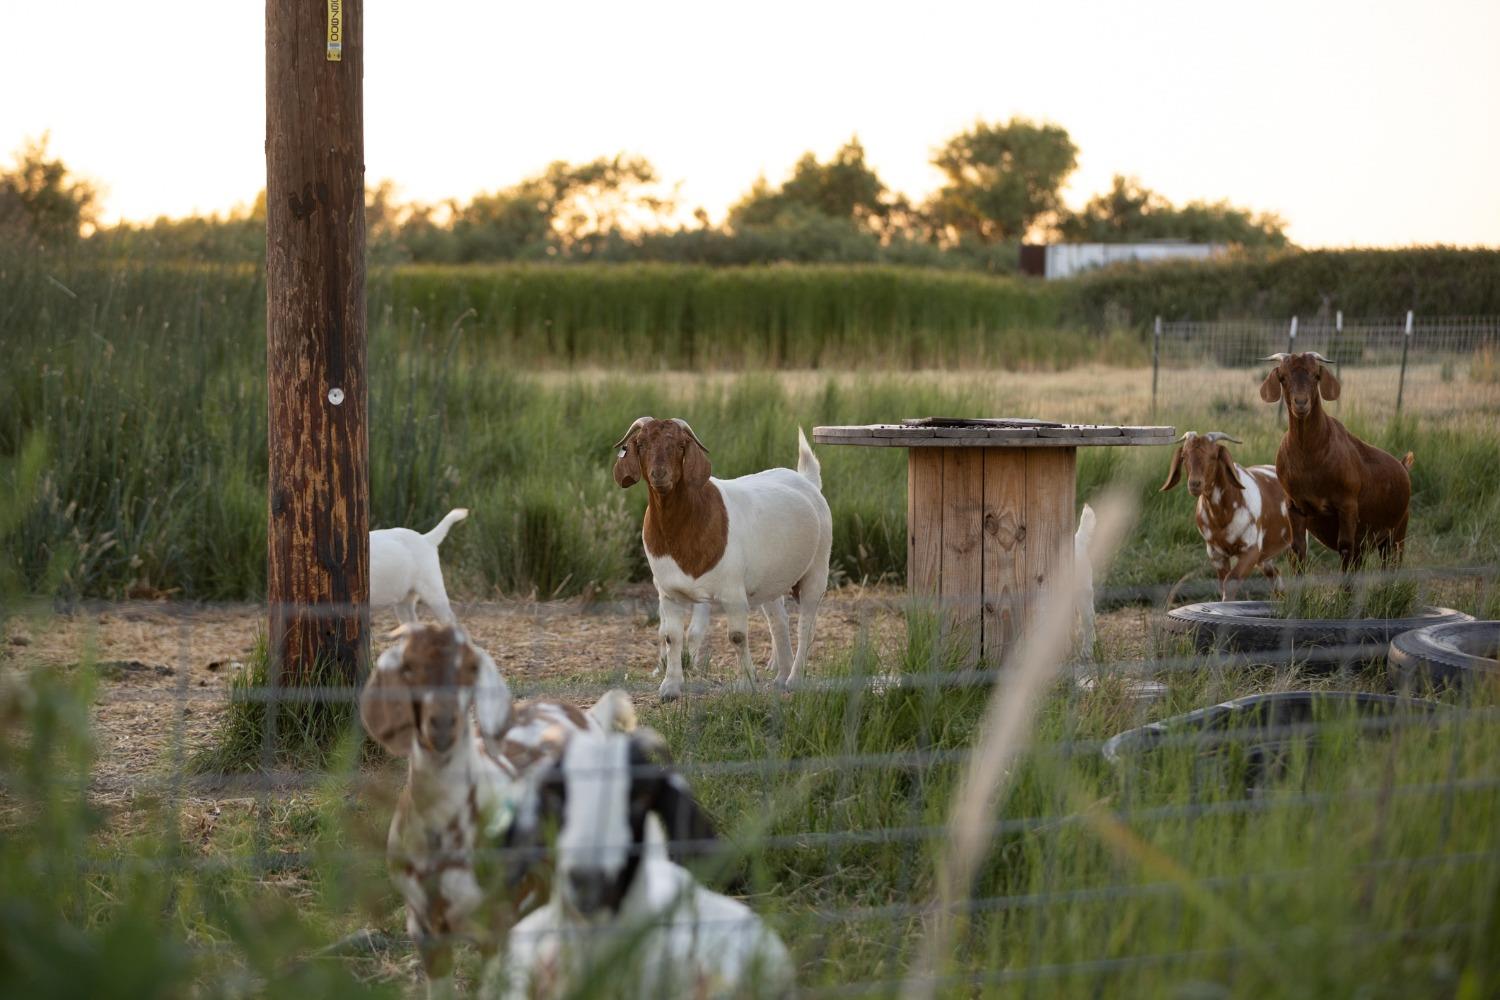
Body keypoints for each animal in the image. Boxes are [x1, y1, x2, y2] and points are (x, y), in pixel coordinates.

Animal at [360, 626, 636, 1000]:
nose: (442, 723)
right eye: (408, 667)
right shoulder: (424, 926)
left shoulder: (497, 925)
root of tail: (588, 715)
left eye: (471, 668)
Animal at [615, 419, 840, 701]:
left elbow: (737, 636)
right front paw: (670, 687)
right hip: (770, 580)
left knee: (806, 624)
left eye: (681, 445)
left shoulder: (732, 591)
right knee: (778, 620)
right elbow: (671, 636)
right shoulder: (668, 593)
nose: (659, 474)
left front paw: (746, 684)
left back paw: (795, 679)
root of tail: (808, 482)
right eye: (641, 444)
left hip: (817, 567)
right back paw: (780, 677)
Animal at [1158, 428, 1290, 599]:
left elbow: (1231, 580)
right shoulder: (1216, 554)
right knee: (1275, 576)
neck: (1222, 516)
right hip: (1266, 555)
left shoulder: (1251, 549)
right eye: (1184, 456)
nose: (1194, 484)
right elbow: (1223, 584)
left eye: (1213, 456)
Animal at [1260, 352, 1410, 569]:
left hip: (1396, 535)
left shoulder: (1347, 507)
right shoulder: (1294, 507)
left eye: (1315, 375)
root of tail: (1403, 467)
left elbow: (1345, 548)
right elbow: (1298, 550)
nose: (1301, 403)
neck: (1310, 457)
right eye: (1283, 377)